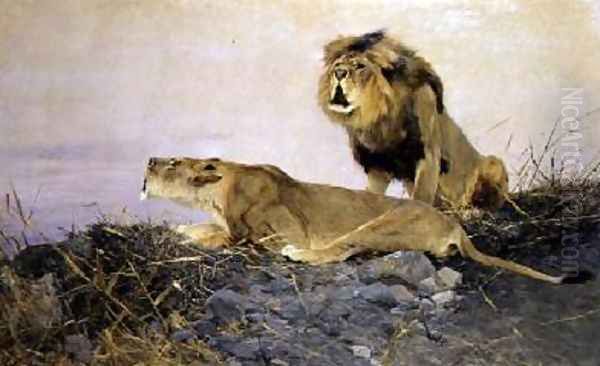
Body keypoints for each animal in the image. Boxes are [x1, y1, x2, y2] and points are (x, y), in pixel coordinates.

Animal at [139, 156, 576, 284]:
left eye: (173, 162)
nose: (150, 160)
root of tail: (456, 226)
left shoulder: (283, 227)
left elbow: (234, 238)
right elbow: (206, 230)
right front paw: (181, 230)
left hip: (388, 221)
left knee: (344, 249)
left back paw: (302, 255)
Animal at [316, 30, 508, 210]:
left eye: (360, 66)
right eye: (337, 66)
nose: (339, 73)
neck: (381, 117)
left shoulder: (428, 153)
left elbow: (421, 195)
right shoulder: (378, 164)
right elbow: (372, 193)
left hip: (493, 163)